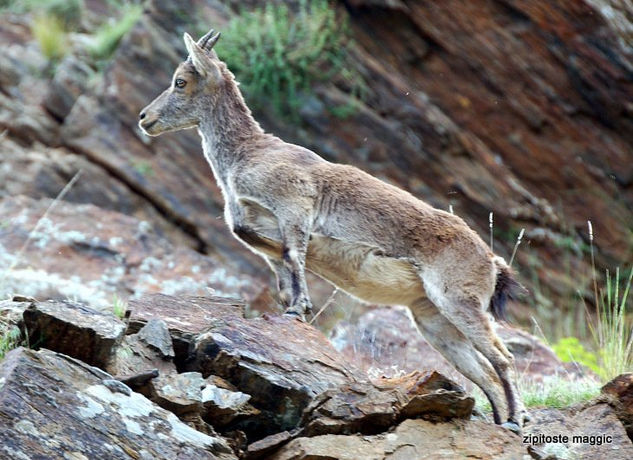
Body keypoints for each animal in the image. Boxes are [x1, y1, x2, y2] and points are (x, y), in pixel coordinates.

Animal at [138, 28, 528, 432]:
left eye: (180, 81)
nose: (144, 117)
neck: (247, 155)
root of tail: (492, 262)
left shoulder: (295, 203)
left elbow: (293, 252)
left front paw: (299, 308)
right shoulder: (258, 232)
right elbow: (277, 263)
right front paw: (294, 308)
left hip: (458, 301)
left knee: (503, 360)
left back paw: (516, 420)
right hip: (433, 319)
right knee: (483, 371)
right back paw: (503, 421)